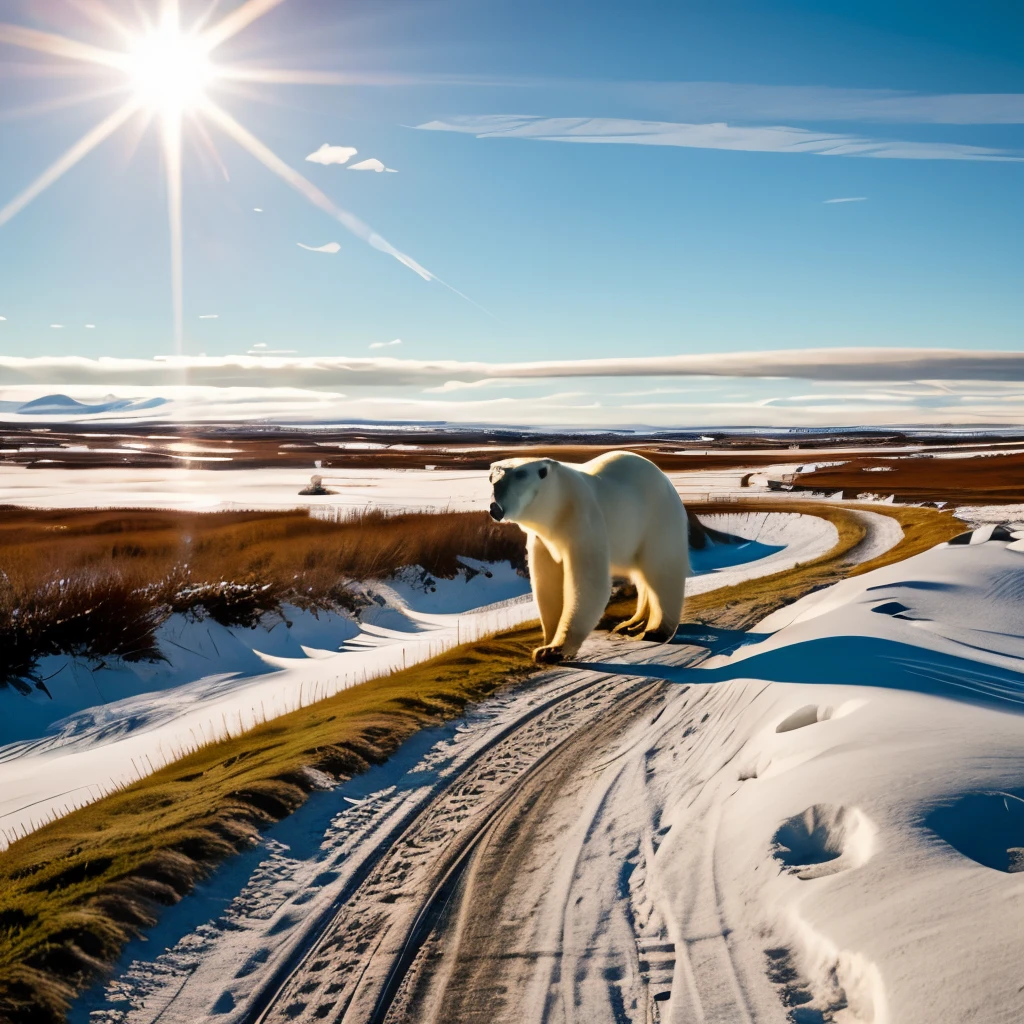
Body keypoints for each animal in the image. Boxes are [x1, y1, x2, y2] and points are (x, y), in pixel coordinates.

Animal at [487, 450, 688, 663]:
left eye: (520, 474)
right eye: (491, 478)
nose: (495, 508)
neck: (560, 506)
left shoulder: (583, 522)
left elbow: (589, 582)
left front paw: (553, 650)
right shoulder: (542, 540)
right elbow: (546, 583)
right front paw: (547, 641)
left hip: (657, 521)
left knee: (662, 571)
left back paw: (655, 631)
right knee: (643, 578)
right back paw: (630, 625)